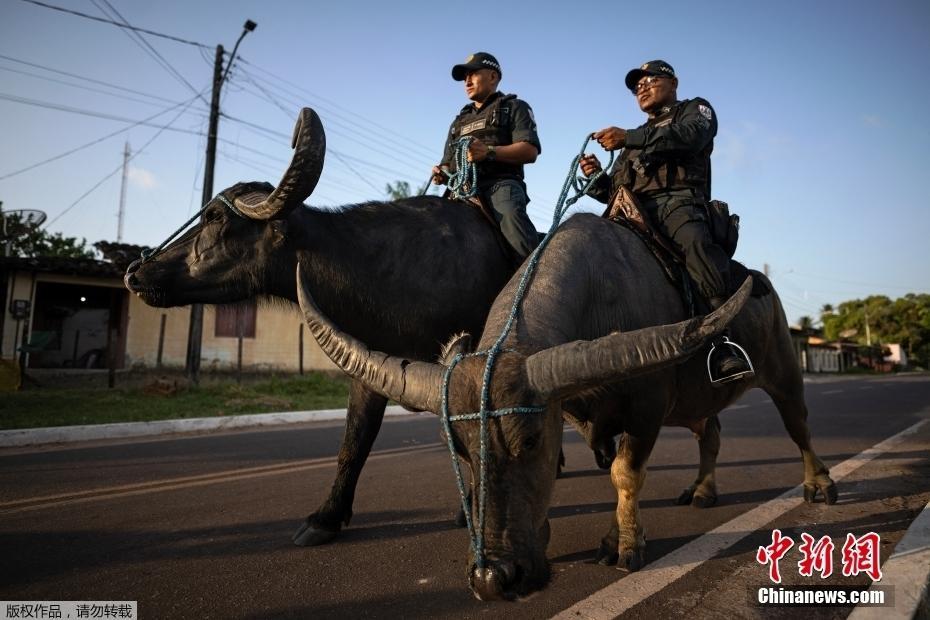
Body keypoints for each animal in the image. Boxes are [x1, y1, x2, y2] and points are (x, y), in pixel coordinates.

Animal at [300, 212, 840, 596]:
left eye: (530, 441)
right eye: (463, 451)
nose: (493, 578)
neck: (602, 295)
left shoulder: (647, 411)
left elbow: (625, 474)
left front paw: (623, 546)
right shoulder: (581, 414)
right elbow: (611, 469)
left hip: (783, 370)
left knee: (799, 424)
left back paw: (820, 485)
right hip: (698, 399)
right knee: (711, 431)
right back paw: (703, 490)